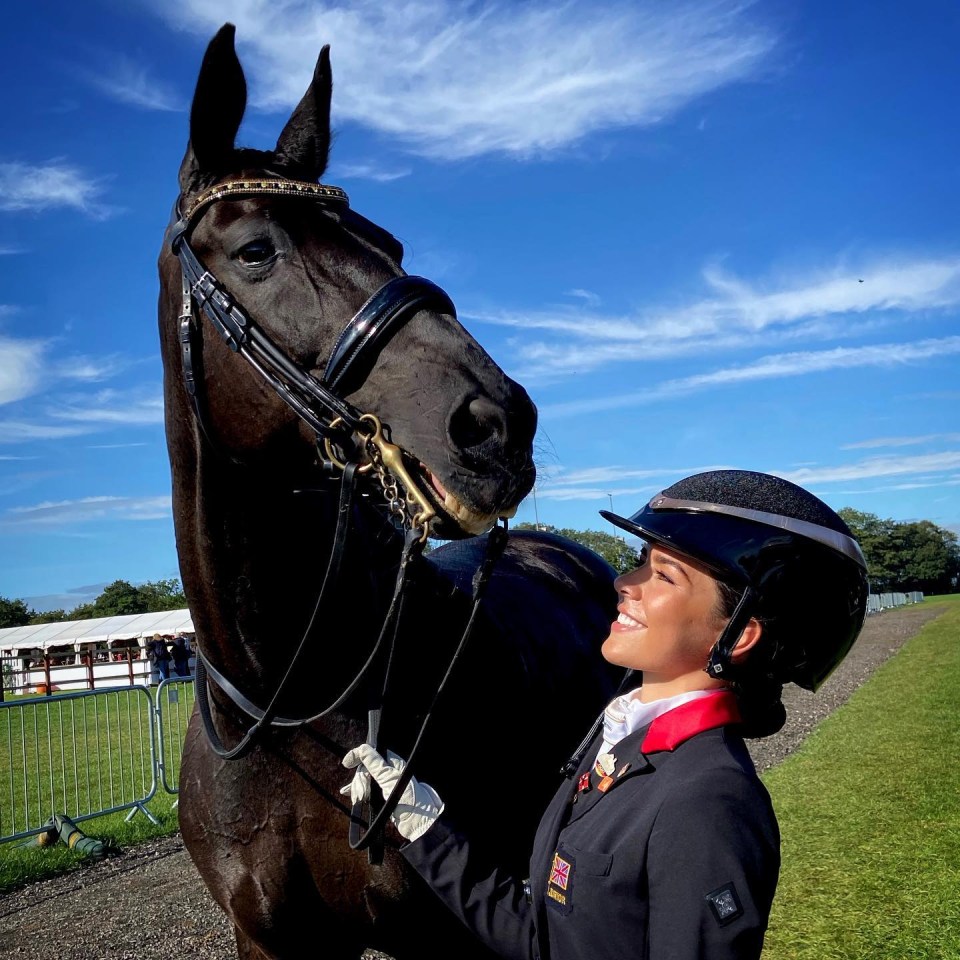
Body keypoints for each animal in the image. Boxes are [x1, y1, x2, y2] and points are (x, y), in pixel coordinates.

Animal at [158, 22, 624, 960]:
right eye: (256, 249)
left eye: (392, 244)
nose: (496, 424)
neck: (291, 698)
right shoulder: (268, 941)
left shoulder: (454, 935)